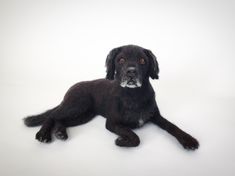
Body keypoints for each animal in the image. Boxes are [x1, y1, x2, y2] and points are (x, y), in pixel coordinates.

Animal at [23, 44, 199, 149]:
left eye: (142, 60)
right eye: (121, 60)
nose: (131, 72)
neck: (134, 94)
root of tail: (73, 86)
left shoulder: (156, 116)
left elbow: (172, 126)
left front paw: (188, 140)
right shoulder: (112, 123)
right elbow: (135, 136)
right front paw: (121, 141)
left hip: (84, 115)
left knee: (61, 119)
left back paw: (60, 132)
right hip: (77, 105)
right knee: (53, 115)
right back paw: (43, 134)